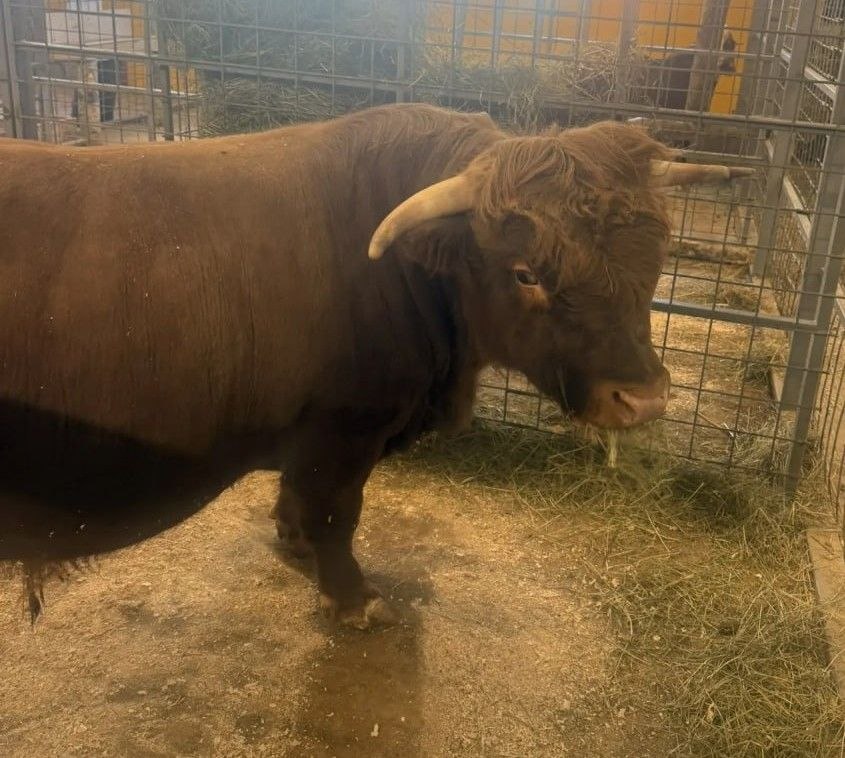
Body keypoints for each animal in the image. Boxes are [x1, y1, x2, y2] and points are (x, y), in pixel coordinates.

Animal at [0, 104, 751, 628]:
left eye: (655, 260)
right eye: (525, 273)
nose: (644, 400)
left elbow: (299, 504)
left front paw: (295, 544)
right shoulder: (344, 430)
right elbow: (337, 515)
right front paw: (353, 598)